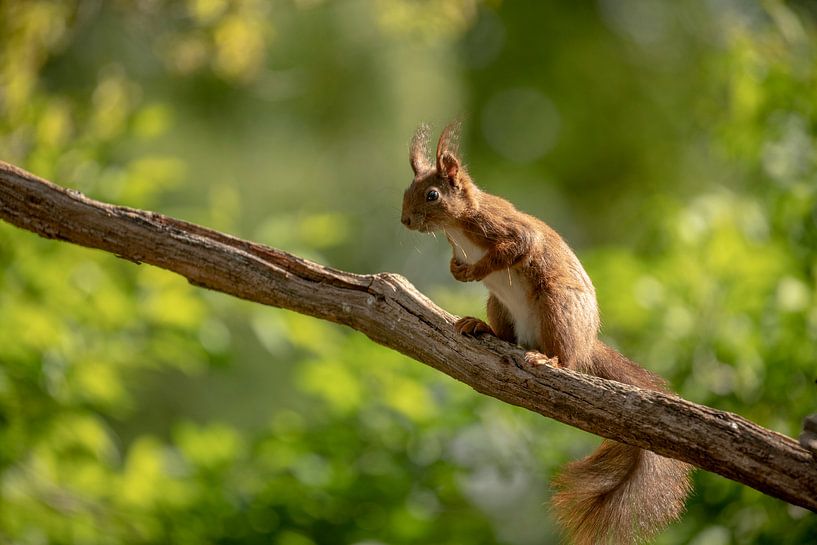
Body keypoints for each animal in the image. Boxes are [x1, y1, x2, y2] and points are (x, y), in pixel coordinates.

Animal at [401, 123, 692, 545]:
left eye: (432, 195)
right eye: (406, 191)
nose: (405, 221)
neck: (457, 227)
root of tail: (586, 344)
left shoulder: (504, 226)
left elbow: (518, 247)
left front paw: (474, 270)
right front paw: (457, 269)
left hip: (556, 306)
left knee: (566, 360)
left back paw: (547, 358)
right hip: (499, 305)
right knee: (507, 337)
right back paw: (480, 327)